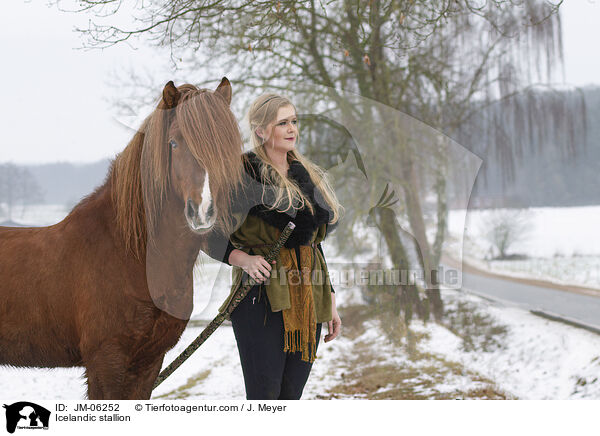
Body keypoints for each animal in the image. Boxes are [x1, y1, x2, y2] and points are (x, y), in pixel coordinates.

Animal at [0, 77, 244, 398]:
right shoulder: (106, 360)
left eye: (228, 144)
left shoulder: (149, 362)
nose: (203, 211)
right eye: (174, 143)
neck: (129, 254)